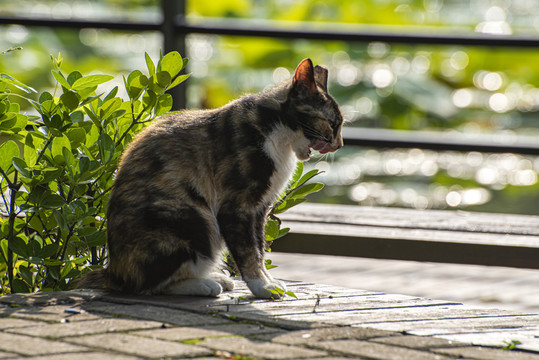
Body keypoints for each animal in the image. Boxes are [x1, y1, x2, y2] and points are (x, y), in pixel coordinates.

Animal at [75, 57, 346, 296]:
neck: (275, 132)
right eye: (332, 124)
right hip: (191, 218)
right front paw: (262, 287)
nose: (340, 145)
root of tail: (113, 272)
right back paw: (204, 284)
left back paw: (215, 278)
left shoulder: (260, 209)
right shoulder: (237, 206)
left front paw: (268, 281)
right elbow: (248, 251)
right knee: (144, 286)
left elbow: (259, 248)